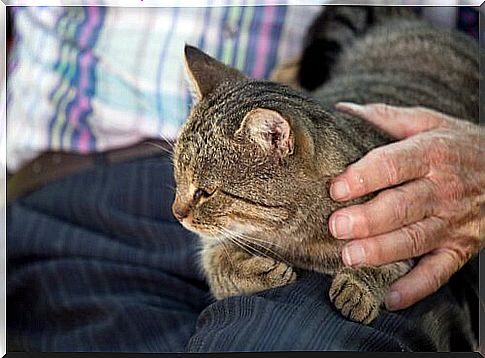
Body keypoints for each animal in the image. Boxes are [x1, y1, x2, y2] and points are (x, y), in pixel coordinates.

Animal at [169, 5, 476, 324]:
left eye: (206, 192)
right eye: (178, 178)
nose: (175, 213)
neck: (296, 240)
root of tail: (402, 20)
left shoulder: (402, 237)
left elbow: (387, 267)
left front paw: (359, 287)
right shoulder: (218, 244)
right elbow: (217, 264)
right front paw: (259, 272)